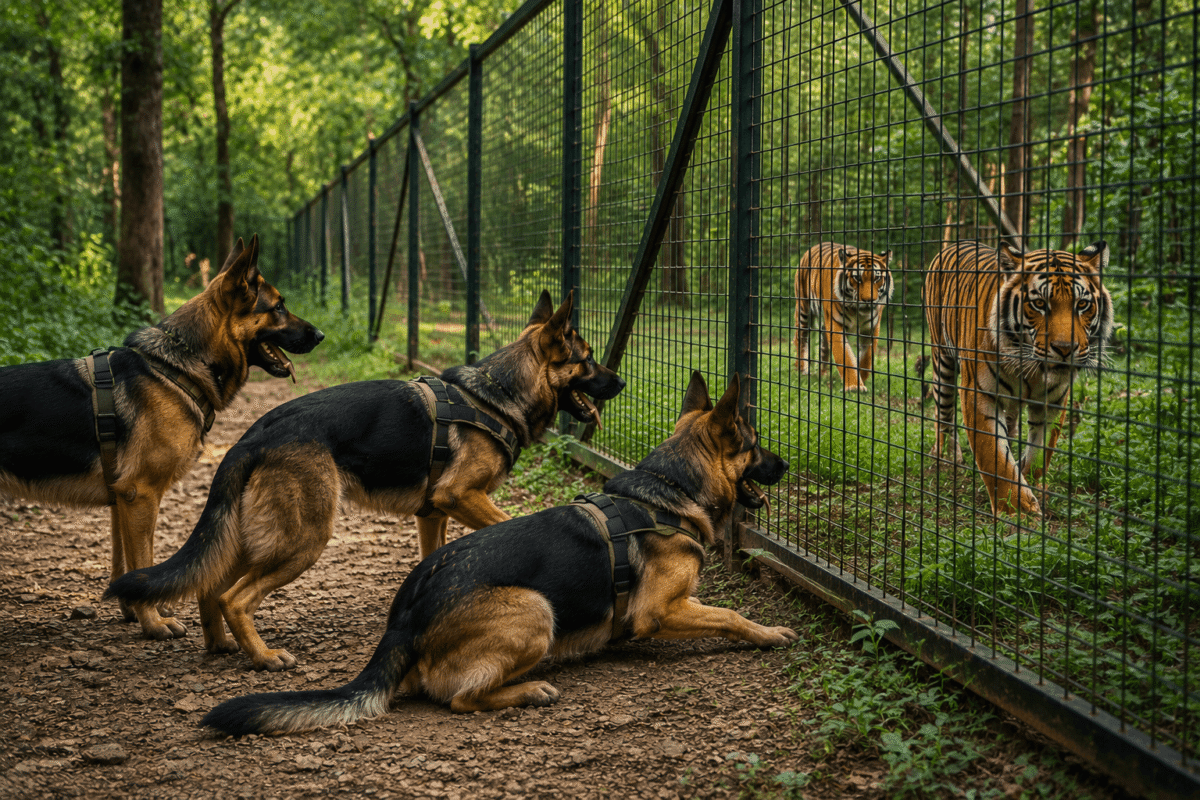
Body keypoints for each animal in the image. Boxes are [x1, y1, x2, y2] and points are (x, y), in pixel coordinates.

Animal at [793, 242, 894, 392]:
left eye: (876, 278)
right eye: (857, 278)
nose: (868, 300)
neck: (858, 311)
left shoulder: (872, 328)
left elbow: (867, 357)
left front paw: (861, 379)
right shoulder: (836, 325)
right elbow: (844, 355)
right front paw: (854, 386)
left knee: (823, 345)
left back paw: (823, 373)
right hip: (804, 310)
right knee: (801, 339)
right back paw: (802, 370)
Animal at [922, 239, 1114, 517]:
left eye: (1082, 305)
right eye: (1039, 304)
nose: (1065, 349)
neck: (1032, 371)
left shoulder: (1054, 401)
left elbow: (1040, 453)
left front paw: (1029, 481)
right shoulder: (978, 395)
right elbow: (994, 457)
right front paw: (1018, 511)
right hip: (943, 361)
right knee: (943, 414)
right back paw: (946, 455)